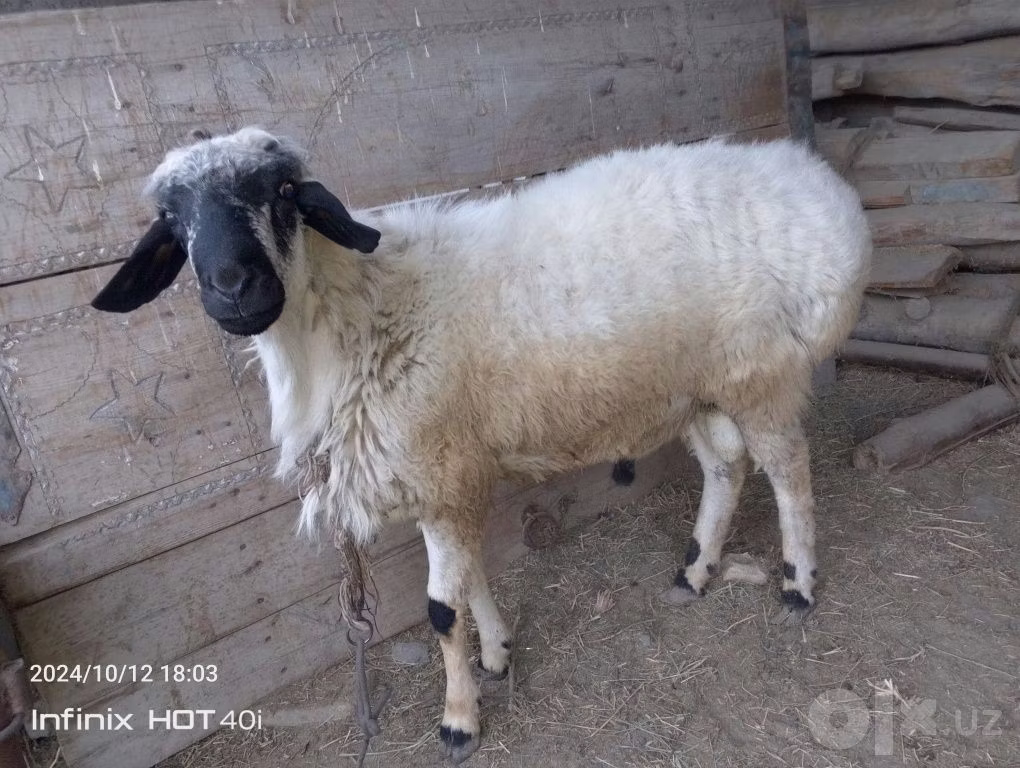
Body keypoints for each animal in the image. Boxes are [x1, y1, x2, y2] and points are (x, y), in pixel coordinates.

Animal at [91, 126, 871, 763]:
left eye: (282, 193)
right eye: (172, 217)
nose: (233, 288)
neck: (356, 317)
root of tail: (820, 188)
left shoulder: (442, 472)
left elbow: (441, 608)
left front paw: (459, 721)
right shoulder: (448, 472)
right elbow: (469, 581)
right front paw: (495, 653)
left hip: (759, 372)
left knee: (788, 470)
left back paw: (798, 583)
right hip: (697, 385)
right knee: (727, 466)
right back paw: (695, 569)